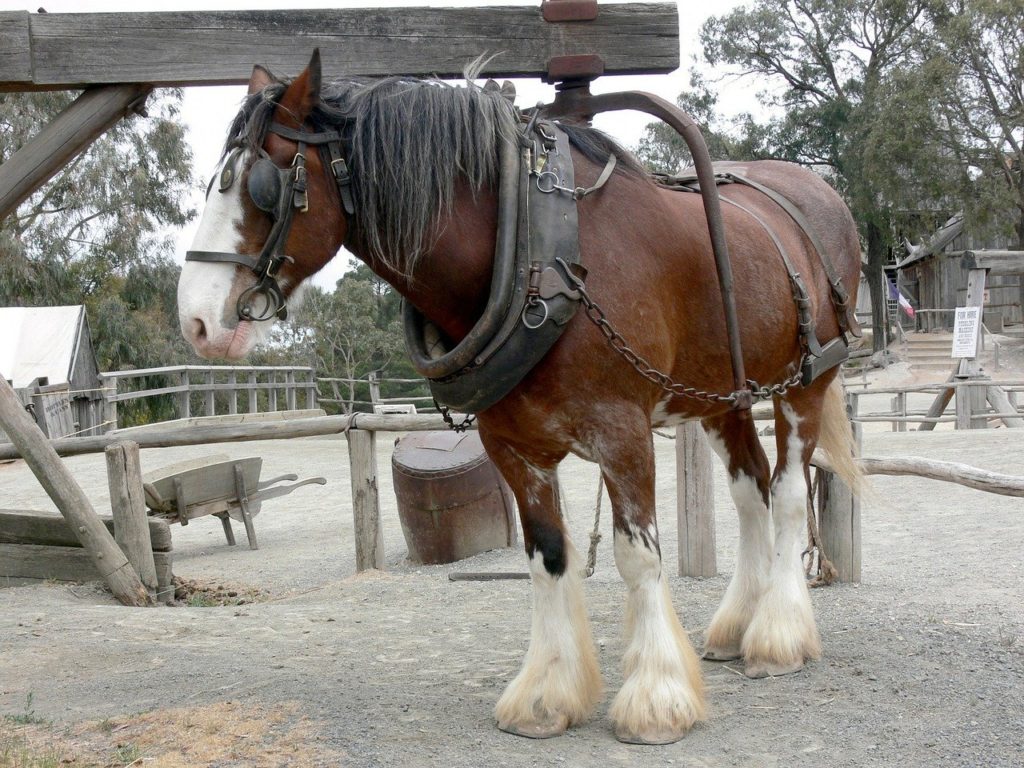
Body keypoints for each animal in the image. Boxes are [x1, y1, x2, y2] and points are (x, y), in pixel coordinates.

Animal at [178, 52, 864, 745]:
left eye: (259, 184)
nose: (196, 321)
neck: (537, 255)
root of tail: (822, 193)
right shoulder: (513, 446)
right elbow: (547, 556)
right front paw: (546, 696)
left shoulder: (623, 435)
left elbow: (637, 558)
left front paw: (656, 698)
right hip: (726, 396)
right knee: (751, 492)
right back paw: (736, 625)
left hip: (805, 383)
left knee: (785, 493)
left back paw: (777, 636)